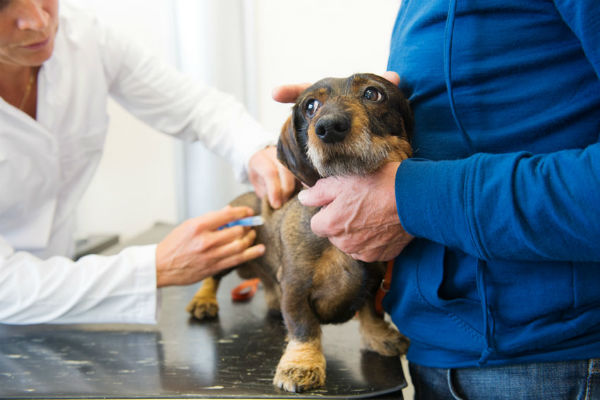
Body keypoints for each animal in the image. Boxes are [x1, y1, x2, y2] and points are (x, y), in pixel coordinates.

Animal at [188, 73, 412, 392]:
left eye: (373, 93)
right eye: (310, 106)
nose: (329, 127)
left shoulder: (374, 282)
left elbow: (371, 312)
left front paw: (379, 336)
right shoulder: (295, 286)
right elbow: (304, 327)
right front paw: (301, 364)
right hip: (233, 243)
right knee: (213, 275)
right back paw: (203, 301)